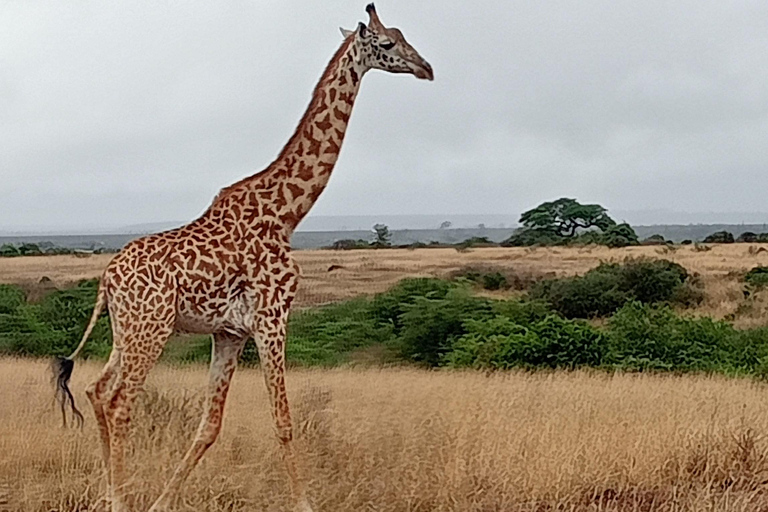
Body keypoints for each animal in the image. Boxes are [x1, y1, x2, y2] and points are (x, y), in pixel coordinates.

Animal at [52, 4, 432, 512]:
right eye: (388, 43)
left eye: (404, 35)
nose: (426, 68)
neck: (287, 213)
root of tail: (107, 278)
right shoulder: (273, 318)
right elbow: (284, 423)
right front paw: (305, 504)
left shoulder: (229, 333)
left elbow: (209, 426)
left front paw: (163, 501)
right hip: (151, 329)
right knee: (119, 401)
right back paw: (119, 499)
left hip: (125, 331)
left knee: (96, 390)